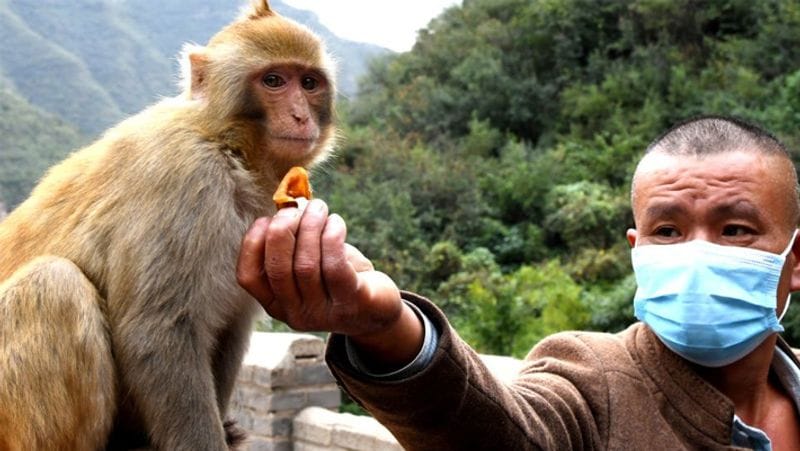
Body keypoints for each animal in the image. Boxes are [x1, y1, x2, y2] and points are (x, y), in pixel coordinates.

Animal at [0, 1, 335, 449]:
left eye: (309, 83)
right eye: (274, 81)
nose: (300, 116)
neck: (228, 147)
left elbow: (228, 329)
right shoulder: (186, 180)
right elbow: (157, 331)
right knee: (55, 285)